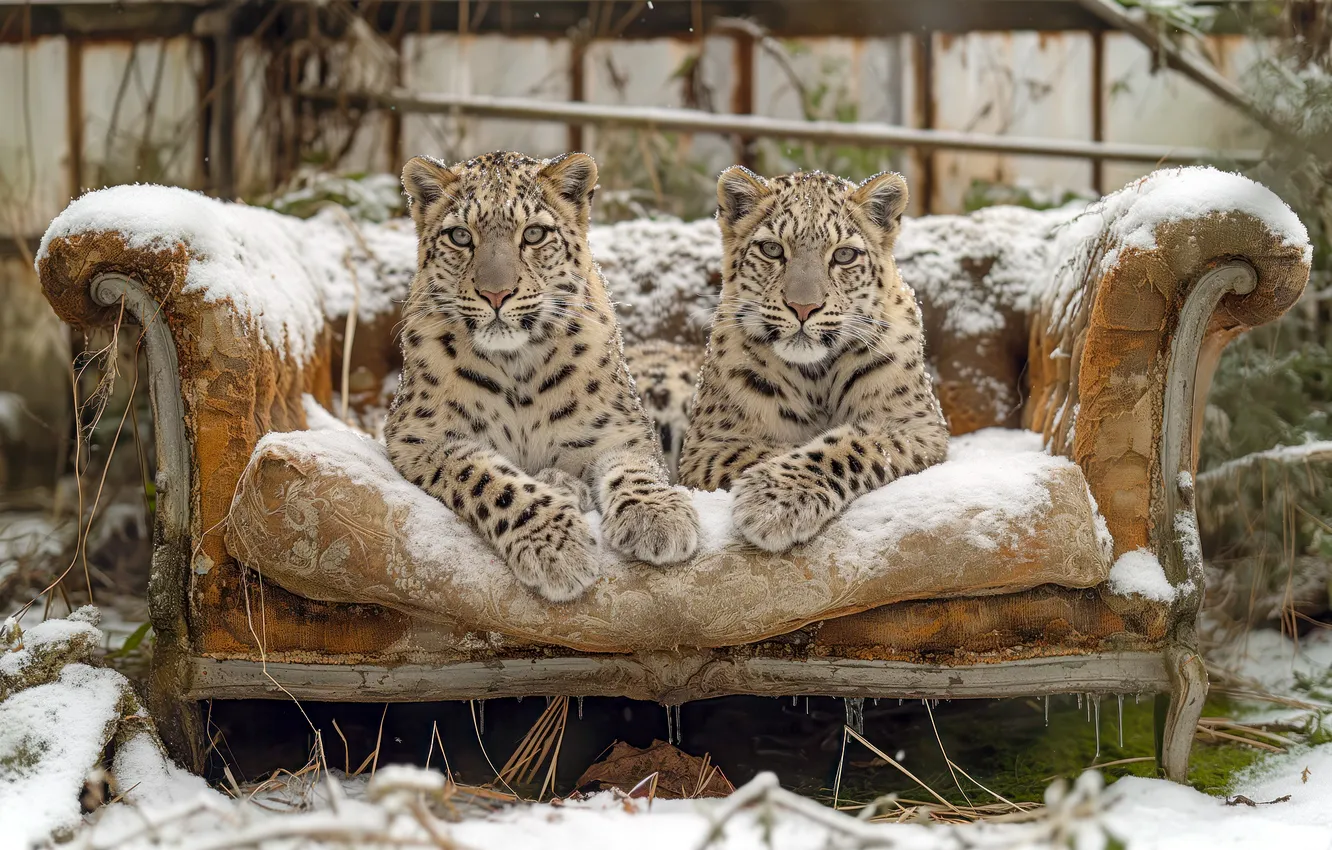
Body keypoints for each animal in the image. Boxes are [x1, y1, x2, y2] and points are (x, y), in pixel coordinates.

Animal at [385, 151, 700, 602]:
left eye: (533, 234)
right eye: (460, 237)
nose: (495, 294)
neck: (517, 365)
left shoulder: (621, 428)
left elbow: (636, 466)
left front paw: (658, 515)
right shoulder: (419, 438)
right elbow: (487, 477)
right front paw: (555, 543)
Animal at [679, 167, 949, 552]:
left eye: (844, 256)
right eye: (772, 249)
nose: (803, 307)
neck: (816, 376)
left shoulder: (919, 427)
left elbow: (856, 444)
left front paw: (775, 500)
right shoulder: (706, 446)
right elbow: (760, 452)